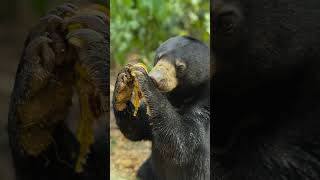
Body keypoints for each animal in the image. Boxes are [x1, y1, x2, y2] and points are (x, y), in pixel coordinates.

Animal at [112, 35, 210, 179]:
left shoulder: (206, 109)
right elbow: (136, 129)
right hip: (150, 169)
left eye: (180, 66)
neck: (181, 97)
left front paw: (144, 79)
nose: (155, 78)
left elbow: (183, 142)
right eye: (159, 57)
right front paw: (123, 84)